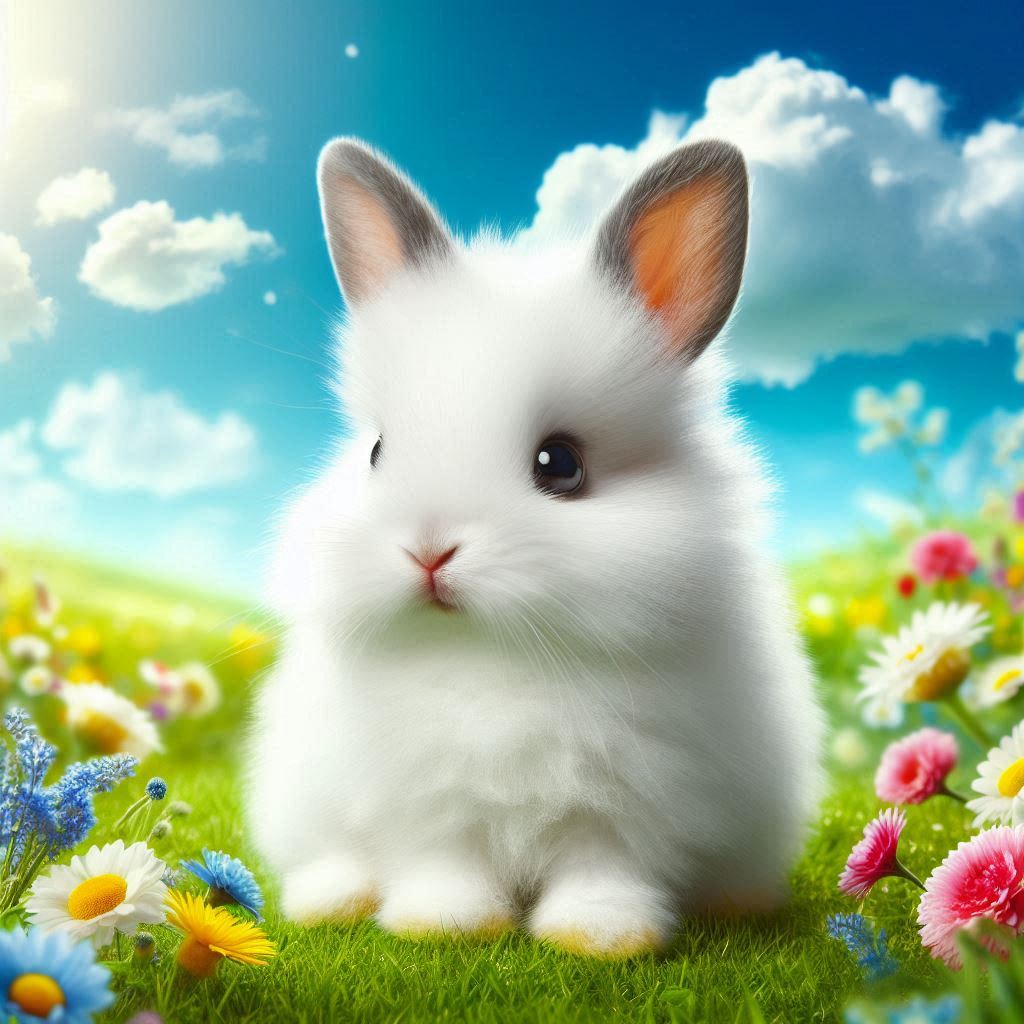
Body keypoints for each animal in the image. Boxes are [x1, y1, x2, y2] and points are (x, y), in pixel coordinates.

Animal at [246, 135, 825, 957]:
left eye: (561, 464)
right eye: (378, 452)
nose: (429, 551)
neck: (493, 658)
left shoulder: (627, 807)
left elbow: (603, 869)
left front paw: (600, 936)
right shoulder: (423, 803)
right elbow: (443, 861)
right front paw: (442, 926)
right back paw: (333, 900)